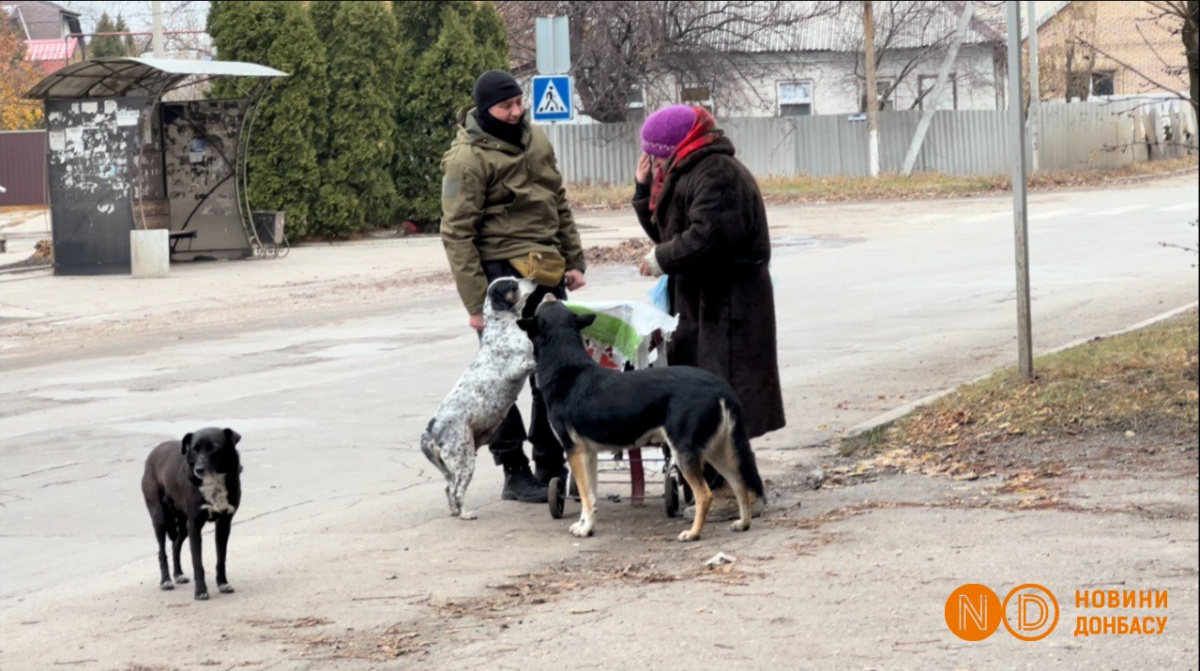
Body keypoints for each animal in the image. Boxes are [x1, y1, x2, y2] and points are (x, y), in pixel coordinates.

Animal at [141, 429, 242, 604]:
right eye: (194, 449)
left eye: (213, 447)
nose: (199, 469)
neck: (213, 481)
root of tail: (154, 452)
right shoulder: (194, 524)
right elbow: (197, 563)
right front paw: (200, 591)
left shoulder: (223, 523)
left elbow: (221, 558)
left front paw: (223, 583)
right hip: (160, 518)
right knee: (161, 552)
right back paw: (166, 581)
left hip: (183, 525)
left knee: (175, 546)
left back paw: (178, 574)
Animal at [420, 277, 537, 520]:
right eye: (513, 285)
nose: (532, 279)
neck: (503, 326)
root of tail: (430, 432)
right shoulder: (519, 366)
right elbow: (532, 360)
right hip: (464, 461)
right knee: (456, 490)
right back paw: (466, 513)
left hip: (452, 467)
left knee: (448, 488)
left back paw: (456, 511)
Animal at [518, 298, 763, 540]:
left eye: (542, 306)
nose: (548, 295)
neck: (565, 366)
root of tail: (721, 386)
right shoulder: (589, 453)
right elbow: (592, 495)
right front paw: (586, 525)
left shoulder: (574, 451)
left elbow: (586, 497)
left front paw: (585, 529)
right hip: (717, 450)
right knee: (740, 483)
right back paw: (743, 523)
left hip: (685, 452)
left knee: (705, 494)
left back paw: (693, 533)